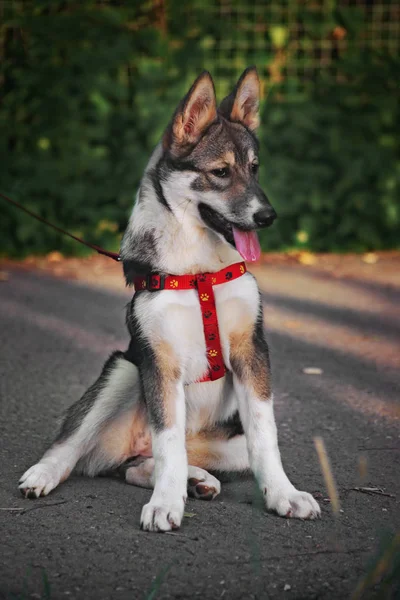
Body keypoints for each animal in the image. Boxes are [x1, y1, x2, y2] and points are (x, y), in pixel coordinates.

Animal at [18, 68, 320, 532]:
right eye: (220, 172)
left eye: (254, 169)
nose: (268, 217)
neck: (199, 270)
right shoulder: (158, 360)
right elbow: (168, 443)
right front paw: (164, 504)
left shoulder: (252, 352)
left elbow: (265, 439)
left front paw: (283, 495)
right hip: (124, 369)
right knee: (77, 446)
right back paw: (44, 475)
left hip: (226, 443)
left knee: (141, 464)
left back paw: (197, 481)